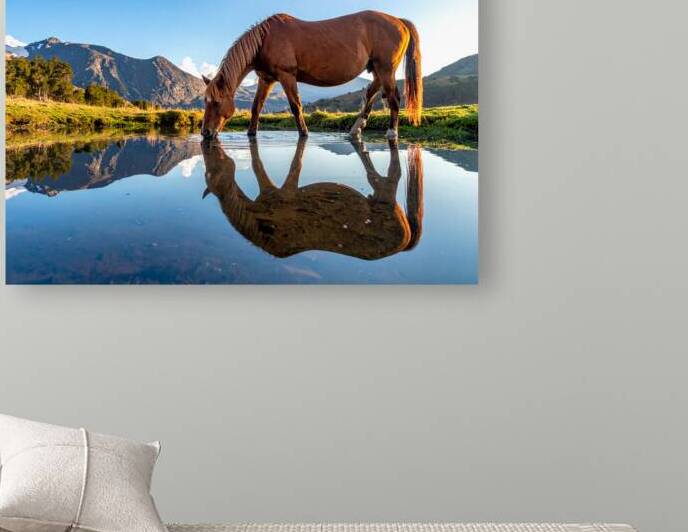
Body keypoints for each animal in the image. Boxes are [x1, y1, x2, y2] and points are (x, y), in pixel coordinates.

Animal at [201, 10, 423, 141]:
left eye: (215, 102)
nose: (205, 133)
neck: (265, 39)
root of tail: (399, 21)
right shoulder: (266, 79)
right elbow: (256, 107)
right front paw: (251, 133)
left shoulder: (287, 76)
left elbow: (295, 107)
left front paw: (304, 133)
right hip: (376, 69)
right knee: (371, 93)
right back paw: (355, 129)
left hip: (385, 69)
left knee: (393, 98)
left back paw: (391, 132)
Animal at [201, 137, 424, 260]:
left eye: (210, 173)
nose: (208, 139)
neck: (259, 224)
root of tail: (406, 240)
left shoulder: (281, 191)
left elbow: (284, 166)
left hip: (384, 196)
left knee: (388, 178)